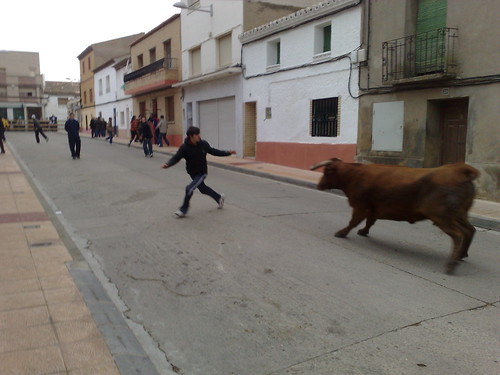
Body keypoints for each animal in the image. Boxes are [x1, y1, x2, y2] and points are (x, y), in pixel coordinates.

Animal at [310, 157, 478, 274]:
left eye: (326, 172)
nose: (319, 185)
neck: (354, 175)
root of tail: (459, 170)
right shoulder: (372, 209)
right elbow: (369, 222)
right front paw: (363, 232)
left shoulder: (360, 207)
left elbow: (353, 222)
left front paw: (341, 233)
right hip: (460, 214)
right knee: (469, 230)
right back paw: (461, 255)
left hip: (442, 216)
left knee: (458, 235)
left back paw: (451, 265)